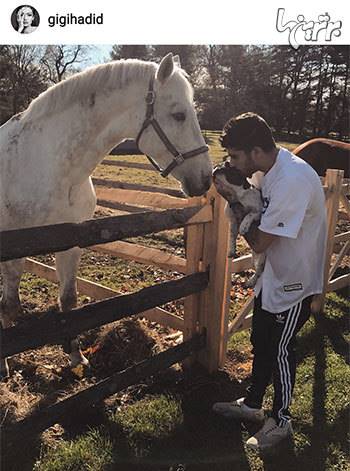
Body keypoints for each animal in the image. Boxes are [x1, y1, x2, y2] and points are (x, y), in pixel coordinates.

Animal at [0, 53, 212, 380]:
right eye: (179, 115)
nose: (205, 179)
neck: (48, 164)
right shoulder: (14, 252)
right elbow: (9, 306)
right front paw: (3, 365)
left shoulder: (70, 243)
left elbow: (69, 302)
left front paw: (76, 358)